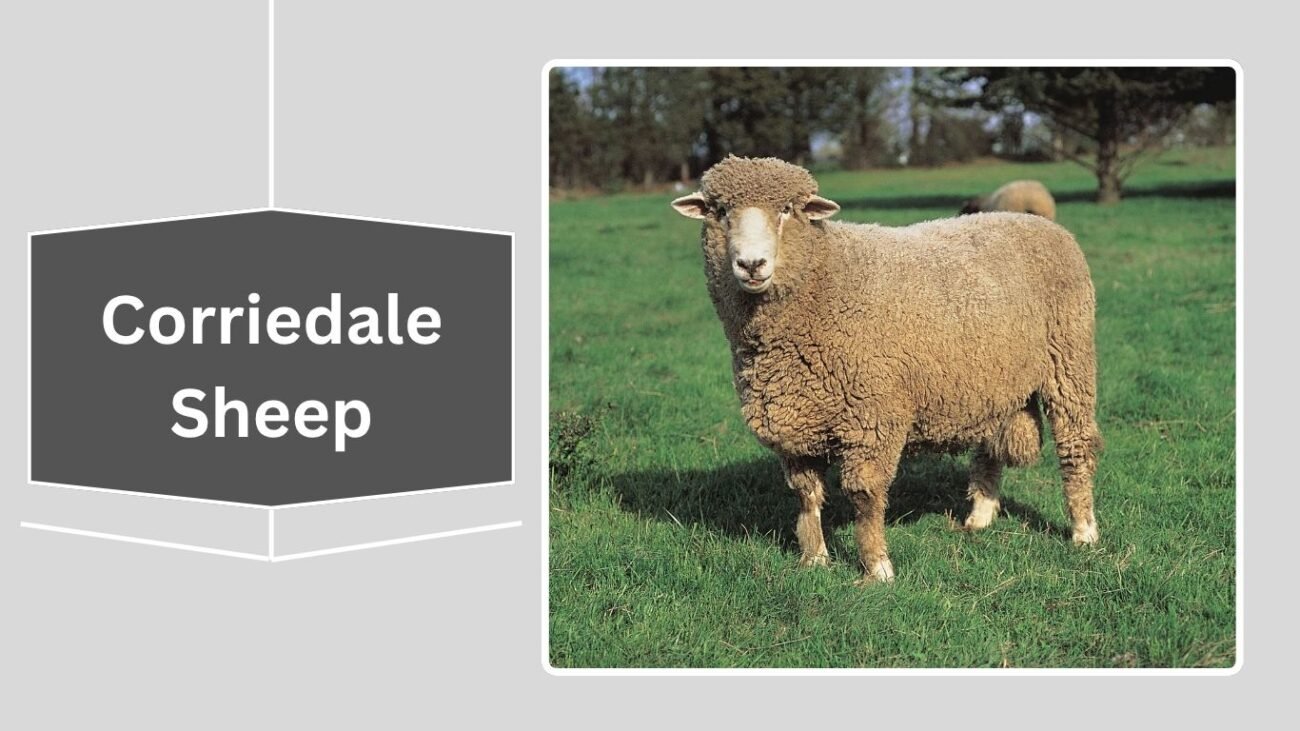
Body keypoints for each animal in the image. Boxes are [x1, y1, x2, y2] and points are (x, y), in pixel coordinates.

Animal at [671, 156, 1101, 585]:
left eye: (787, 210)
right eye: (720, 211)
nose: (751, 264)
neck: (824, 281)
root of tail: (1038, 222)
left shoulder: (872, 419)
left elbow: (864, 497)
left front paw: (877, 568)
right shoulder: (797, 424)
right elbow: (806, 495)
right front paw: (814, 559)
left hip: (1070, 360)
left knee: (1075, 445)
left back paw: (1084, 531)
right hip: (991, 382)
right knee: (989, 449)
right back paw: (979, 517)